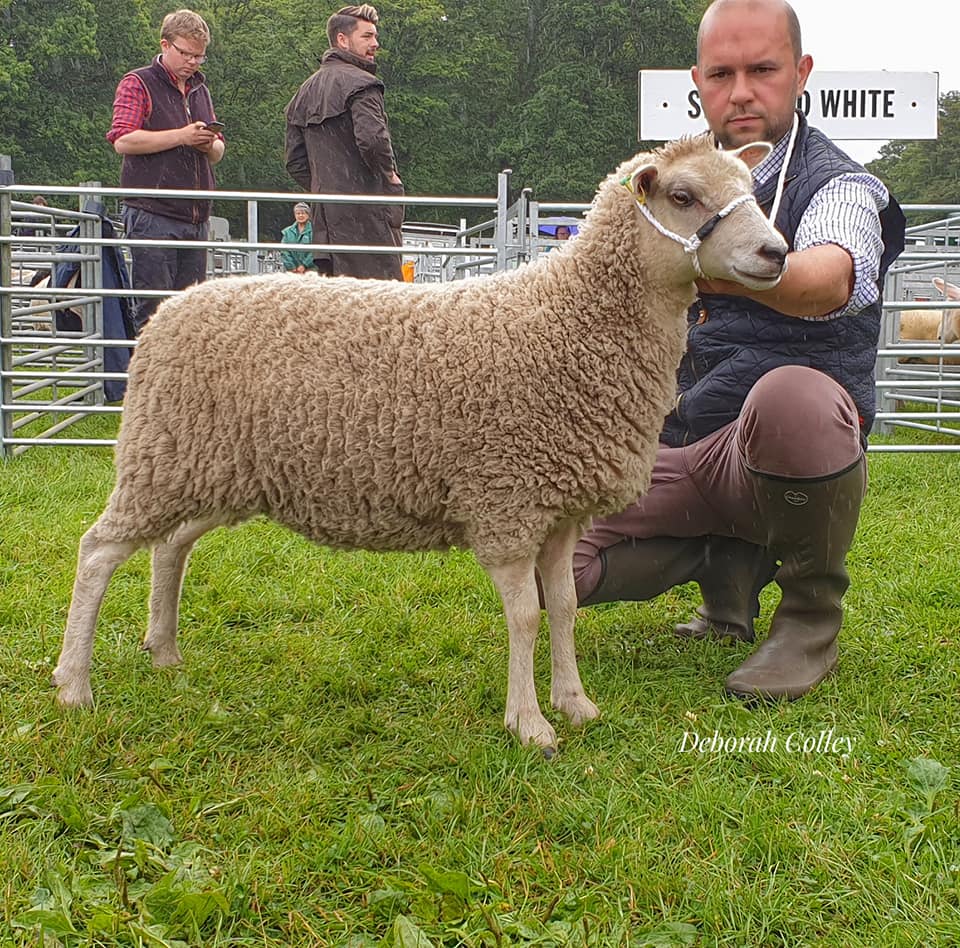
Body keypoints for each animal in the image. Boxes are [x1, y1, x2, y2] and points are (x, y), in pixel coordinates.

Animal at [52, 133, 788, 754]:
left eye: (750, 184)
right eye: (683, 197)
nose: (777, 253)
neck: (571, 318)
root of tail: (169, 308)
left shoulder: (559, 508)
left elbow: (565, 608)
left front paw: (575, 703)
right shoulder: (506, 499)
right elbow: (525, 616)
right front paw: (529, 725)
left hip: (209, 467)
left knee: (171, 546)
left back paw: (163, 650)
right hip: (163, 455)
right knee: (97, 552)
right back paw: (73, 685)